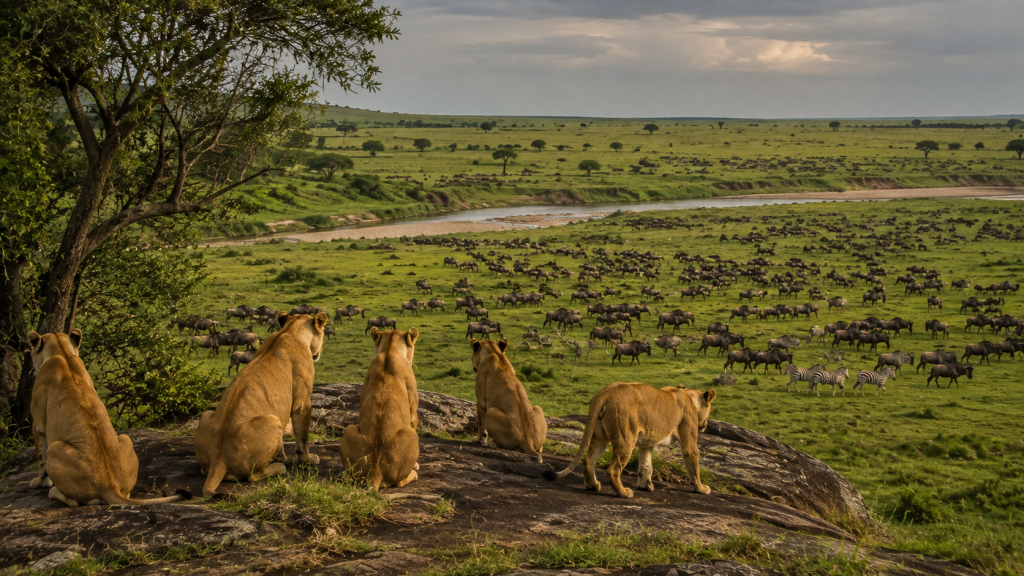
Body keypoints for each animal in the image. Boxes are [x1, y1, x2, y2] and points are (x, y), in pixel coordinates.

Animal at [27, 330, 190, 506]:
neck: (62, 352)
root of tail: (109, 485)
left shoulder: (38, 424)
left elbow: (41, 458)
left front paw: (40, 482)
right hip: (125, 438)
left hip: (55, 447)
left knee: (75, 502)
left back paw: (53, 492)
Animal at [195, 312, 328, 497]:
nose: (320, 352)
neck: (290, 330)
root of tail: (218, 460)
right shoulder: (302, 402)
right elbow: (302, 437)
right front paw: (307, 459)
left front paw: (280, 455)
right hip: (272, 420)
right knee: (252, 476)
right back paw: (279, 467)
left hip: (207, 414)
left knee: (204, 470)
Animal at [339, 327, 420, 492]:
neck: (390, 351)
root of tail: (375, 471)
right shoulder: (413, 409)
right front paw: (415, 465)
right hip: (410, 434)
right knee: (400, 482)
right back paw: (414, 473)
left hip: (350, 428)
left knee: (348, 478)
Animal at [543, 382, 716, 498]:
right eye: (710, 410)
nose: (705, 425)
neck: (688, 395)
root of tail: (605, 392)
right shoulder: (689, 440)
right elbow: (693, 463)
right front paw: (701, 488)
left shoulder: (646, 443)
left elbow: (646, 465)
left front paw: (646, 485)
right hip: (626, 437)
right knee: (613, 470)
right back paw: (624, 493)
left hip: (600, 437)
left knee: (588, 459)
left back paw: (593, 486)